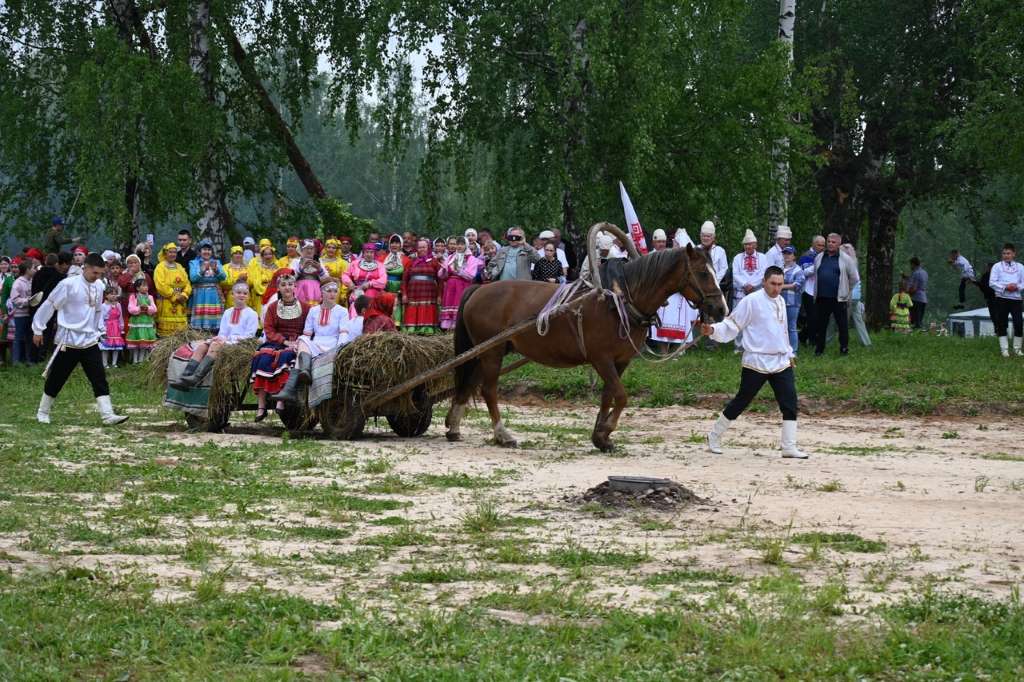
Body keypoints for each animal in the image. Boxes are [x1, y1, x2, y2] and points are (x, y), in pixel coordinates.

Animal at [446, 231, 729, 448]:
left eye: (715, 271)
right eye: (703, 273)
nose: (721, 309)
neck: (621, 298)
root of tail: (479, 289)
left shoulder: (620, 361)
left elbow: (608, 395)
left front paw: (600, 436)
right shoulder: (601, 359)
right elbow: (621, 396)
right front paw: (606, 430)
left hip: (489, 350)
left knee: (469, 383)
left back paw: (454, 426)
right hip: (490, 353)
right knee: (488, 390)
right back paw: (501, 434)